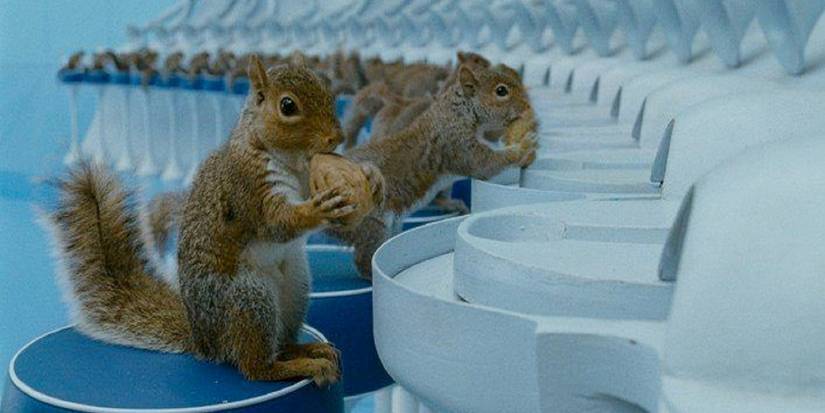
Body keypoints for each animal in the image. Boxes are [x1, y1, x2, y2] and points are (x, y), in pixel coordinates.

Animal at [42, 56, 376, 385]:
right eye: (287, 106)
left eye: (328, 92)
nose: (337, 137)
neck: (289, 161)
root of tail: (204, 341)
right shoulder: (246, 188)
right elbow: (275, 223)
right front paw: (319, 210)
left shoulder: (305, 178)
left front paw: (370, 178)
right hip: (249, 298)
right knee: (254, 367)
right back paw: (299, 366)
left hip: (295, 287)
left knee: (281, 343)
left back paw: (307, 349)